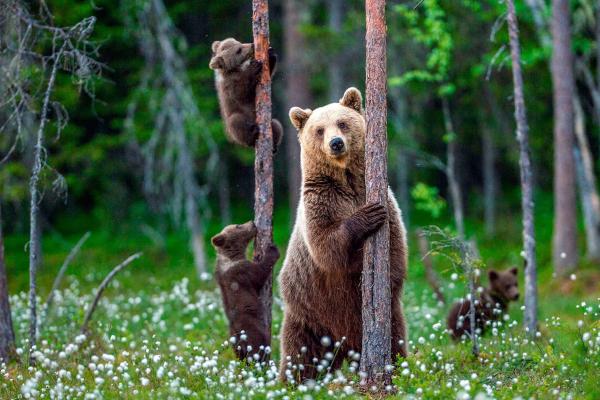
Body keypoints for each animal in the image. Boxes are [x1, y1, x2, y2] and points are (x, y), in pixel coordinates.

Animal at [278, 86, 410, 382]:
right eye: (319, 129)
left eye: (342, 123)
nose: (336, 143)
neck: (346, 180)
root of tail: (344, 345)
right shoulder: (320, 202)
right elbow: (326, 246)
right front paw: (367, 216)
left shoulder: (385, 200)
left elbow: (395, 250)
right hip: (309, 313)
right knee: (299, 353)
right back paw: (291, 382)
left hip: (386, 319)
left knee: (395, 338)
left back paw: (397, 368)